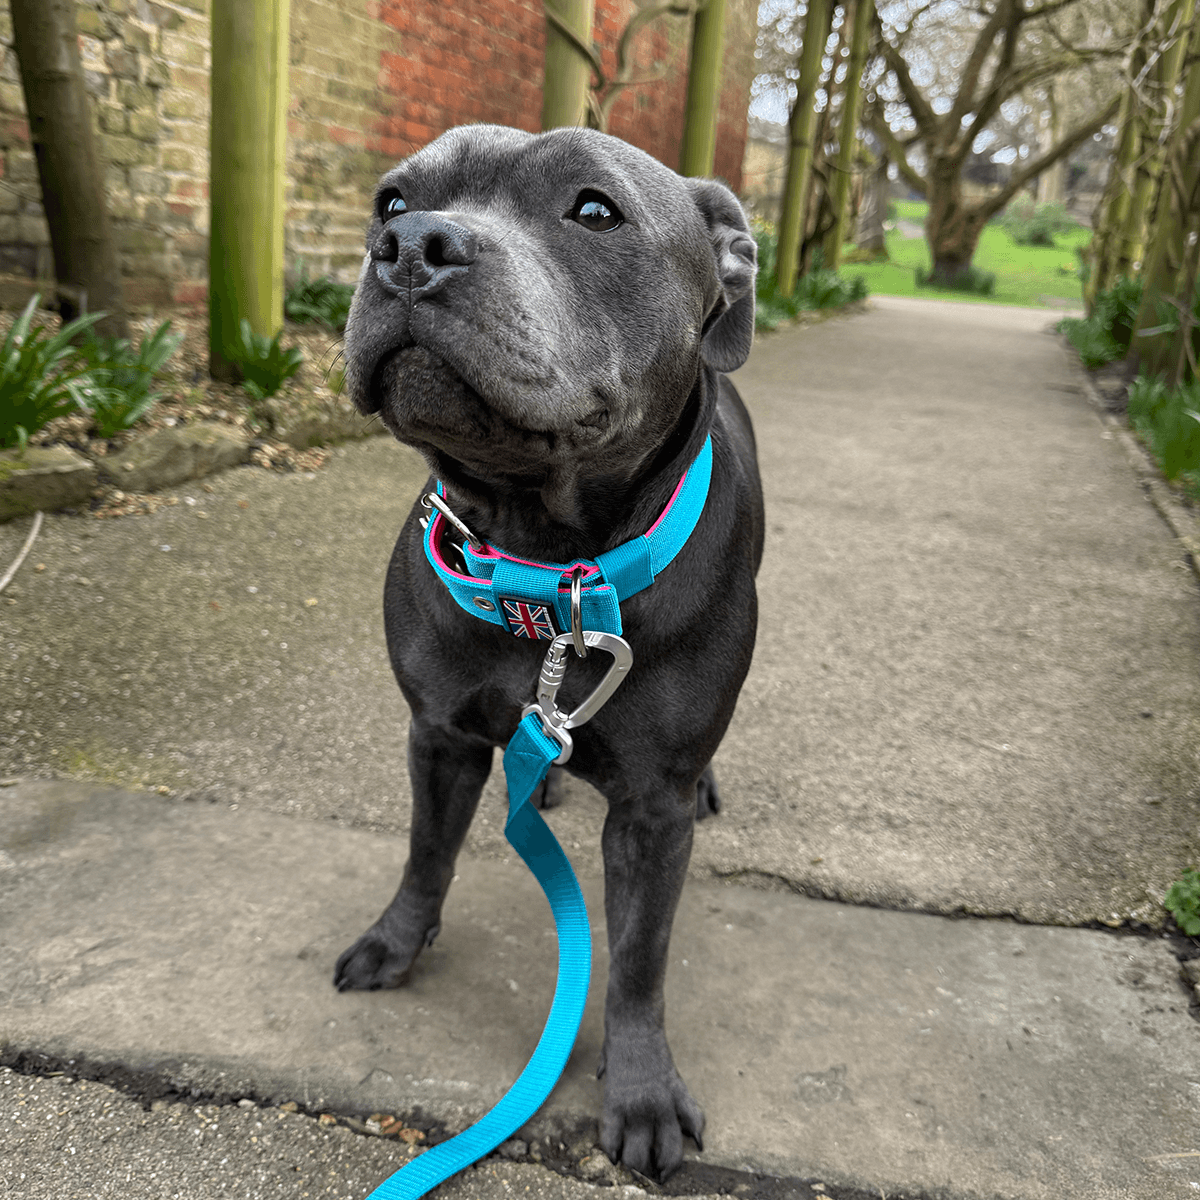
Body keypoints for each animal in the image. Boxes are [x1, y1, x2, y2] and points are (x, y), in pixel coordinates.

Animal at [338, 124, 758, 1180]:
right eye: (392, 201)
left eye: (595, 210)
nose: (412, 247)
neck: (539, 562)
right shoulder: (439, 736)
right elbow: (427, 852)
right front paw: (397, 944)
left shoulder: (651, 814)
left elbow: (640, 960)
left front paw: (641, 1090)